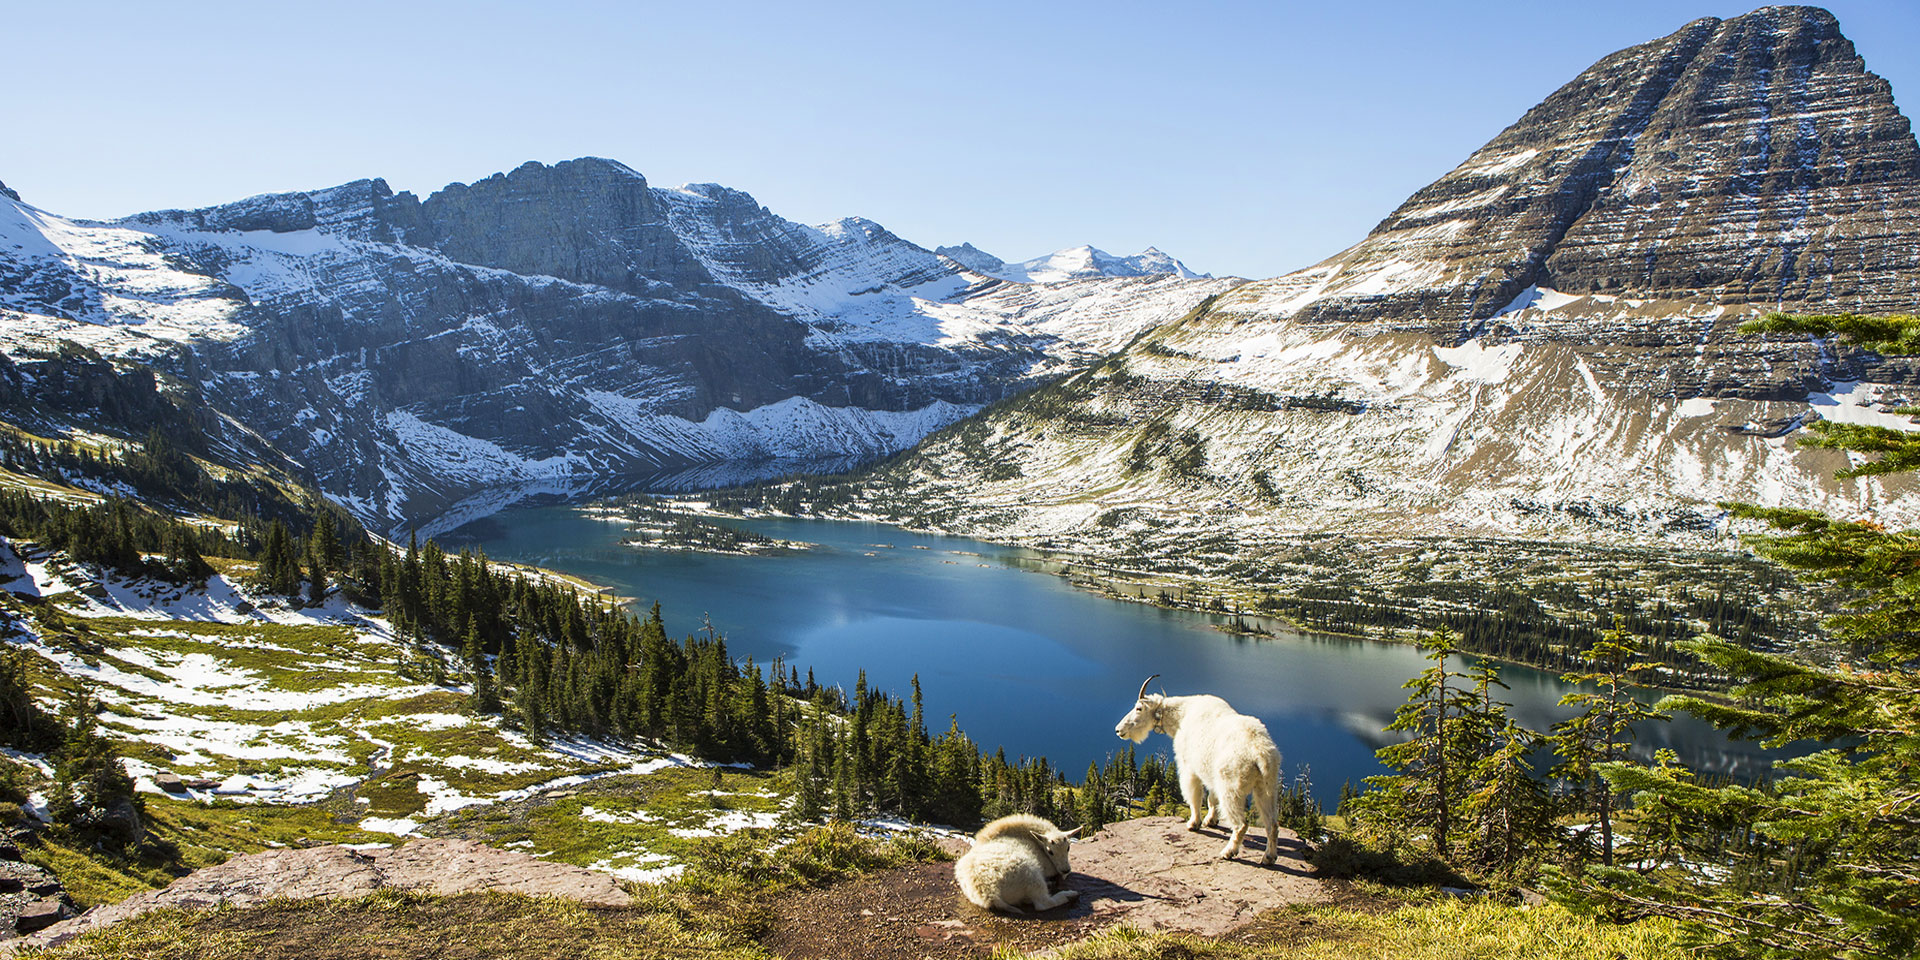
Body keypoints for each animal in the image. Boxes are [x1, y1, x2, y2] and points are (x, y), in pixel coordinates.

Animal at [1121, 675, 1282, 864]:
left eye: (1138, 708)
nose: (1118, 730)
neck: (1181, 716)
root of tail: (1259, 752)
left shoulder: (1189, 768)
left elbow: (1195, 796)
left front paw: (1194, 823)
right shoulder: (1210, 774)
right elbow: (1211, 799)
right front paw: (1210, 821)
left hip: (1231, 788)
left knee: (1241, 824)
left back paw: (1228, 852)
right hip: (1266, 787)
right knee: (1272, 823)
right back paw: (1269, 857)